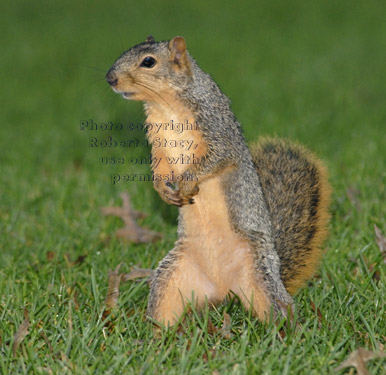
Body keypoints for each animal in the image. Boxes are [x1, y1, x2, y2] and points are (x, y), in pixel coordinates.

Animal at [106, 36, 332, 328]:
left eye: (148, 61)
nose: (110, 78)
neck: (166, 106)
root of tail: (224, 290)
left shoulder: (217, 129)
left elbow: (216, 158)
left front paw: (187, 182)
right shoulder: (158, 141)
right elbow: (160, 165)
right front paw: (162, 189)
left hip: (261, 275)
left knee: (279, 308)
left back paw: (286, 331)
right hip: (172, 277)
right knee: (164, 311)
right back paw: (156, 334)